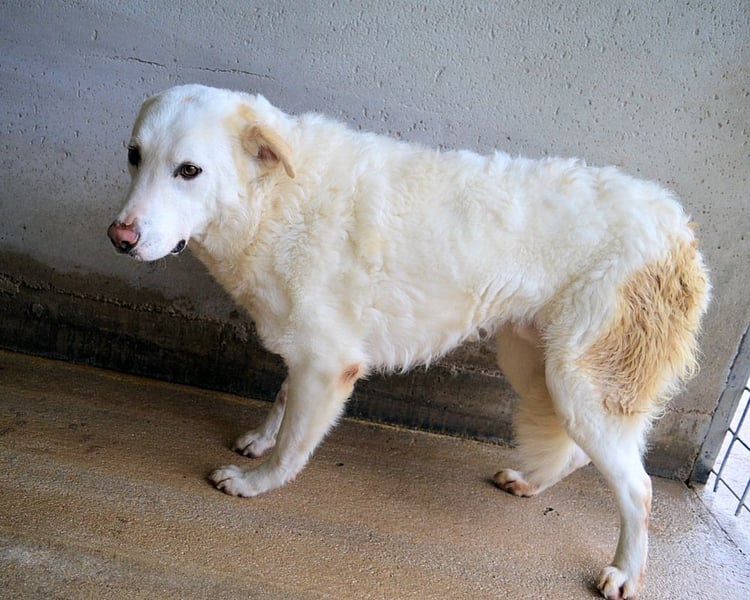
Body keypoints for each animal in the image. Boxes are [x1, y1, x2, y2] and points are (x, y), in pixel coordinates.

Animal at [108, 84, 710, 599]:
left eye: (189, 171)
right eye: (134, 156)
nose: (120, 238)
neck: (279, 197)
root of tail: (679, 229)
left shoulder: (328, 364)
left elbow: (294, 445)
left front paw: (257, 482)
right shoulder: (307, 353)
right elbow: (282, 400)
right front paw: (260, 438)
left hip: (577, 382)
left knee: (638, 488)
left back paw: (625, 571)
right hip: (534, 363)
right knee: (582, 452)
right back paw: (529, 482)